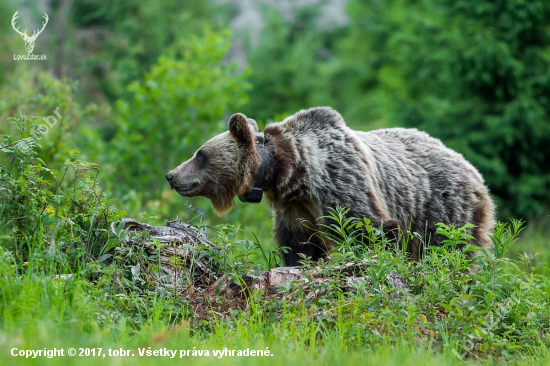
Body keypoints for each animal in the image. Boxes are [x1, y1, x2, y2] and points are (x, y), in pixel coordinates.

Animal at [166, 106, 498, 266]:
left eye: (200, 155)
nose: (171, 175)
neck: (290, 173)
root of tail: (474, 171)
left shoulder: (339, 180)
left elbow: (369, 228)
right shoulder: (294, 209)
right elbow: (299, 246)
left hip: (443, 207)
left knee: (449, 248)